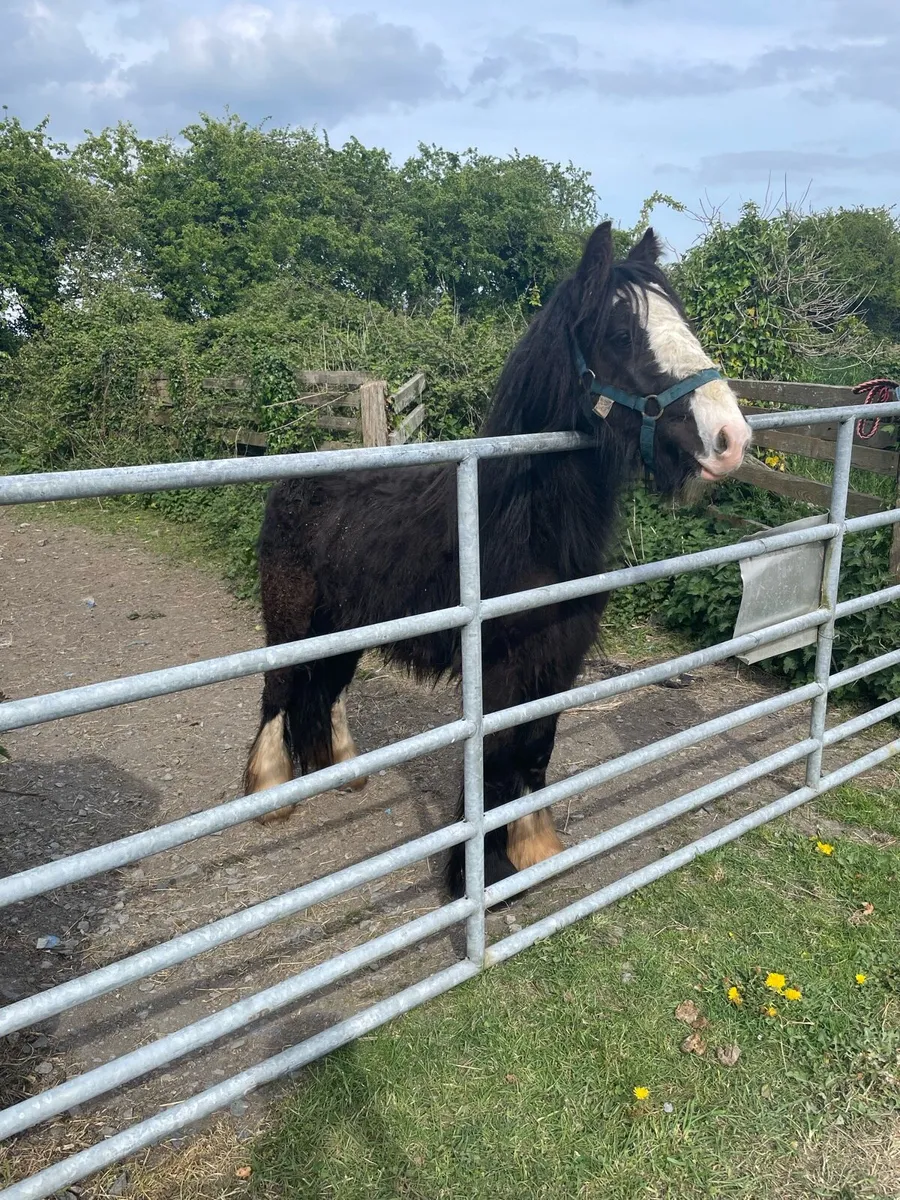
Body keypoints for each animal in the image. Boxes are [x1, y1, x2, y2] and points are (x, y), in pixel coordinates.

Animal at [241, 220, 751, 900]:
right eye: (622, 334)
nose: (732, 439)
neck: (521, 529)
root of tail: (292, 482)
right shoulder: (501, 667)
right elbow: (495, 755)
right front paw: (473, 874)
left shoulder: (558, 659)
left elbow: (534, 748)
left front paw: (531, 848)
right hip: (293, 620)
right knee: (279, 691)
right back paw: (272, 792)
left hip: (344, 629)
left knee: (322, 693)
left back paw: (341, 772)